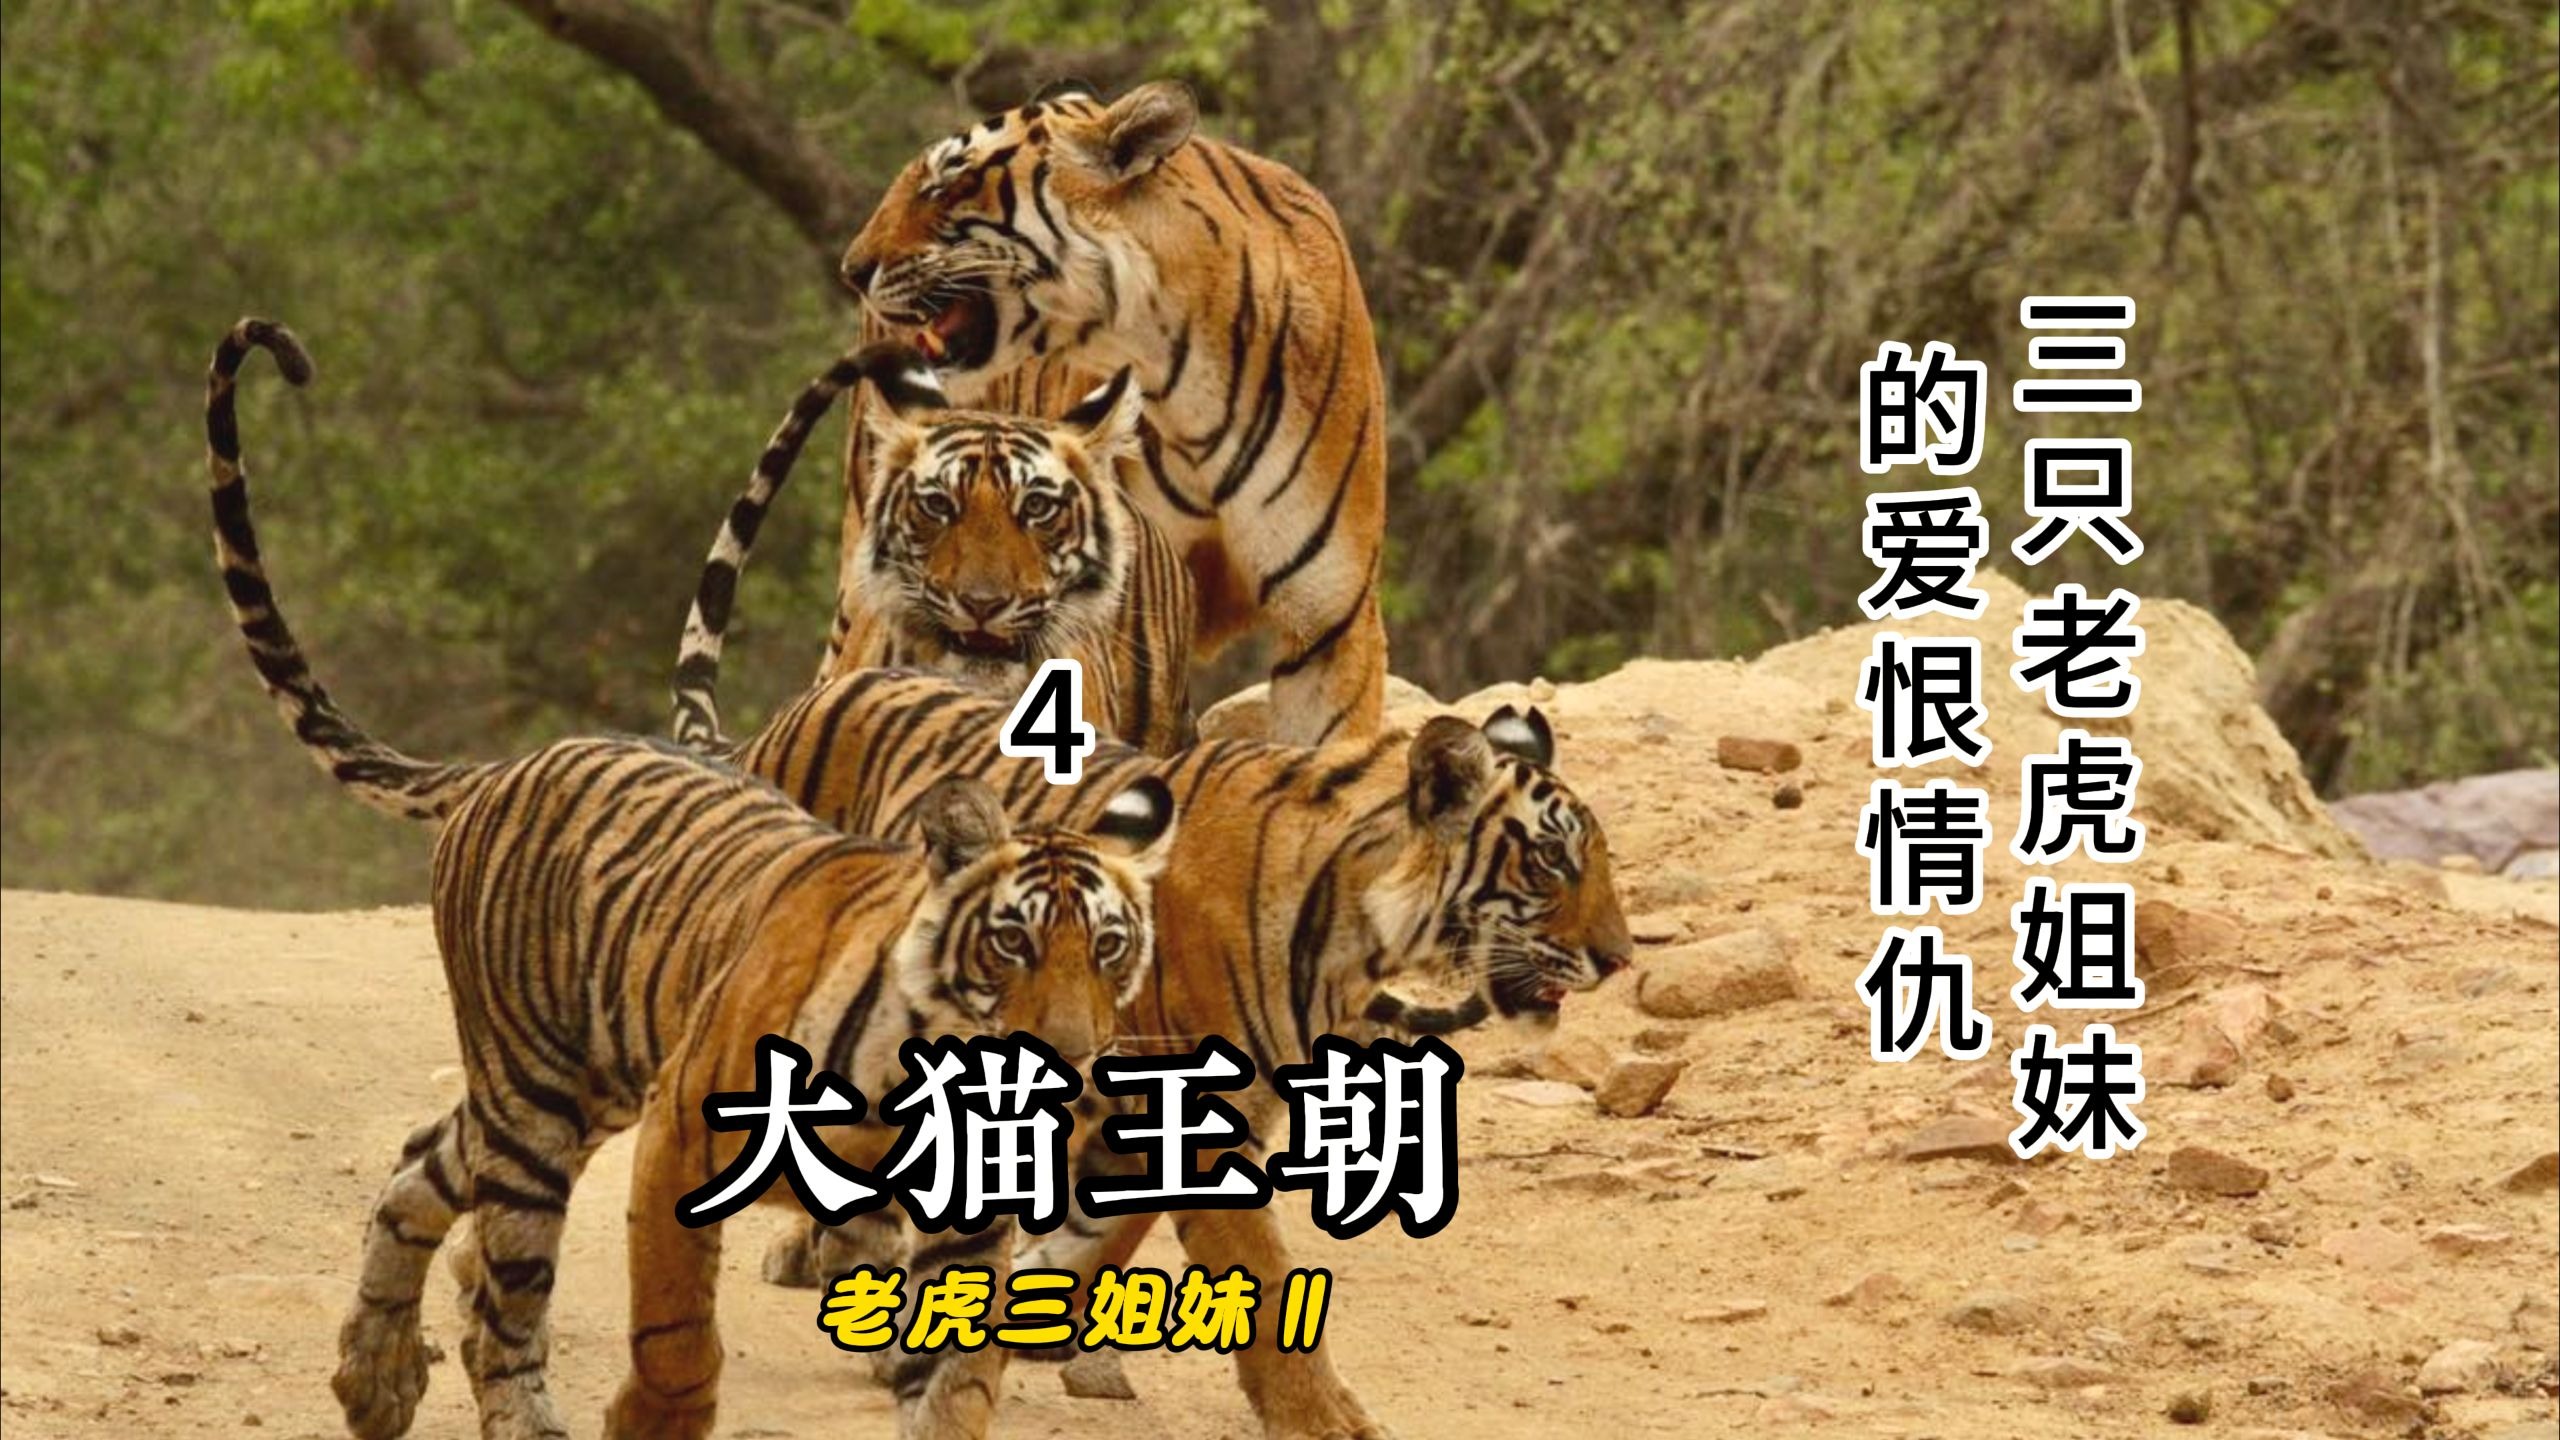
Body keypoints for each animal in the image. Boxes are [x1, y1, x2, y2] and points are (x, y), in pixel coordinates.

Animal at [702, 664, 1636, 1440]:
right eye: (1551, 861)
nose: (1622, 958)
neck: (1355, 938)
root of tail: (798, 704)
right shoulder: (1197, 1114)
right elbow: (1261, 1274)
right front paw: (1327, 1421)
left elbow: (1109, 1227)